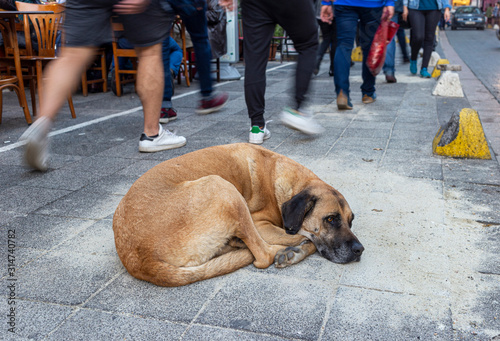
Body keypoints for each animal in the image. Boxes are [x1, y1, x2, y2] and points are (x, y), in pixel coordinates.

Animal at [113, 142, 364, 286]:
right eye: (330, 219)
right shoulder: (261, 224)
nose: (359, 250)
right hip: (224, 188)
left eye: (350, 222)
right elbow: (305, 237)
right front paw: (295, 250)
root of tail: (138, 260)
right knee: (264, 255)